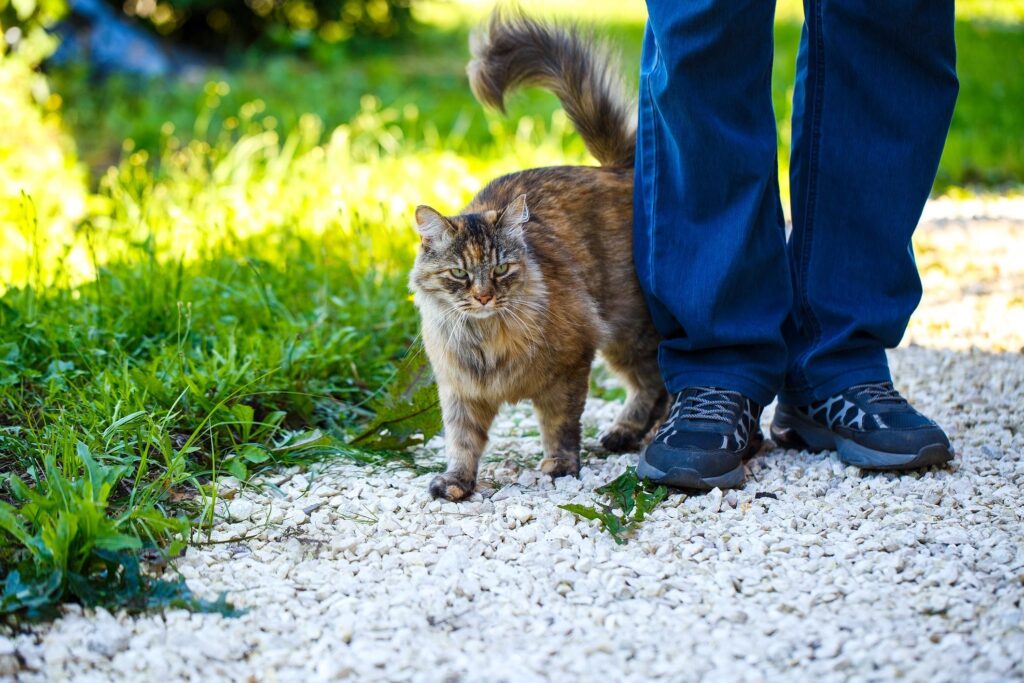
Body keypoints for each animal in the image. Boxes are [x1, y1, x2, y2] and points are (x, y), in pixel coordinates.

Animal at [411, 7, 667, 501]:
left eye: (500, 269)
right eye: (459, 274)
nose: (484, 296)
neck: (485, 341)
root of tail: (618, 169)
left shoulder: (568, 371)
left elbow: (560, 426)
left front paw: (560, 466)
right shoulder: (459, 390)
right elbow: (461, 440)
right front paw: (456, 481)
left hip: (631, 330)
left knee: (661, 383)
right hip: (625, 341)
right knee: (652, 387)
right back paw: (627, 434)